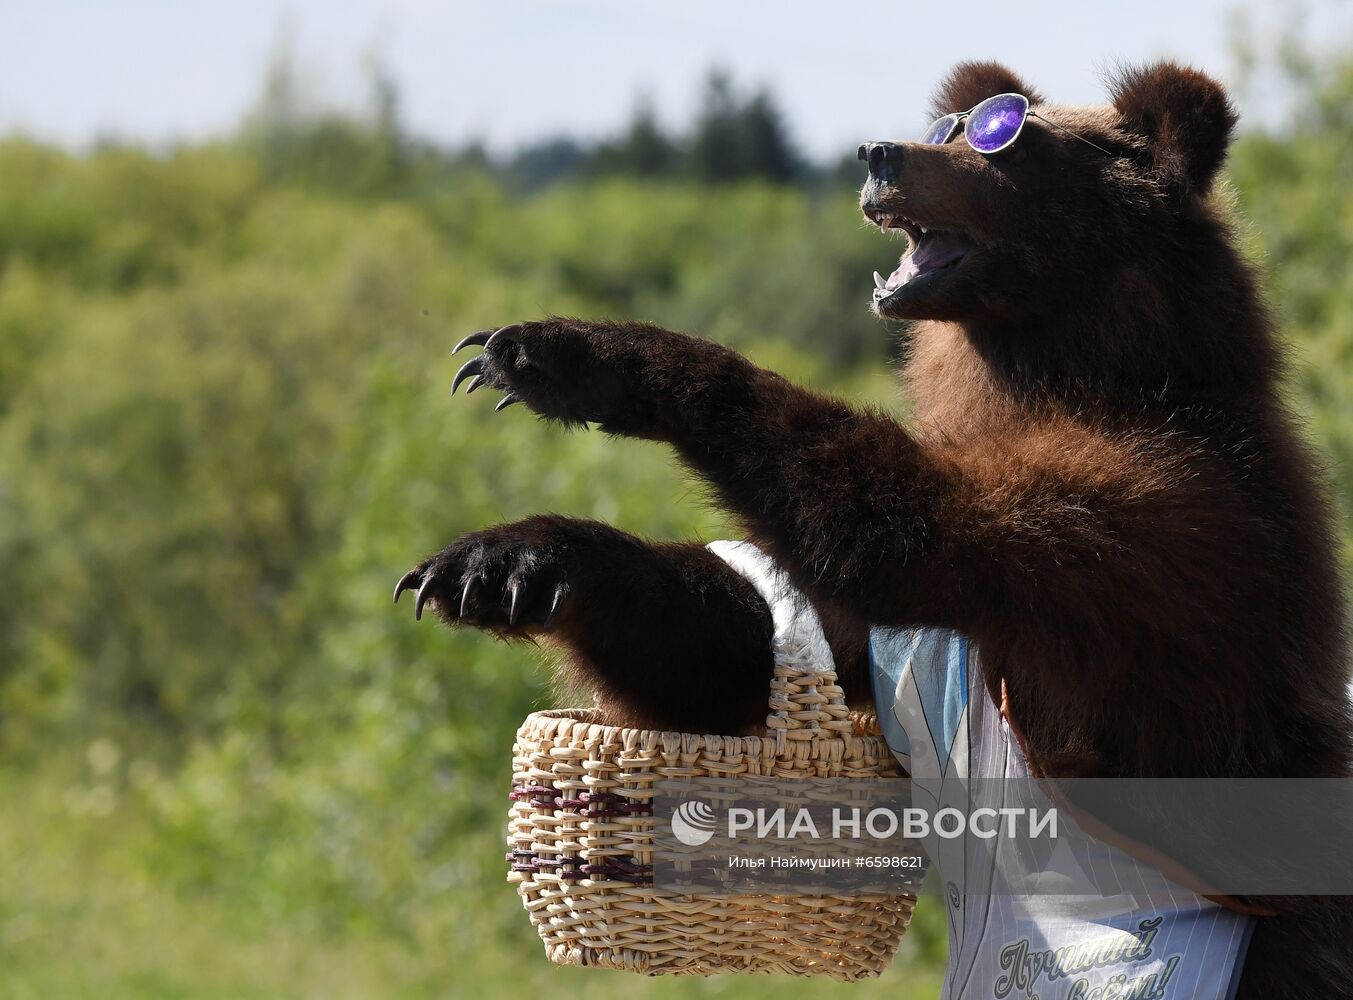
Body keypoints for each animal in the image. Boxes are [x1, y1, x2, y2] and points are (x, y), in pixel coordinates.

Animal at [395, 64, 1347, 1000]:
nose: (879, 151)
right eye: (948, 126)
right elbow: (747, 651)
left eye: (1004, 139)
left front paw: (591, 357)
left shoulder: (1151, 515)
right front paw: (502, 558)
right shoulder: (909, 643)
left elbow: (903, 530)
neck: (1068, 367)